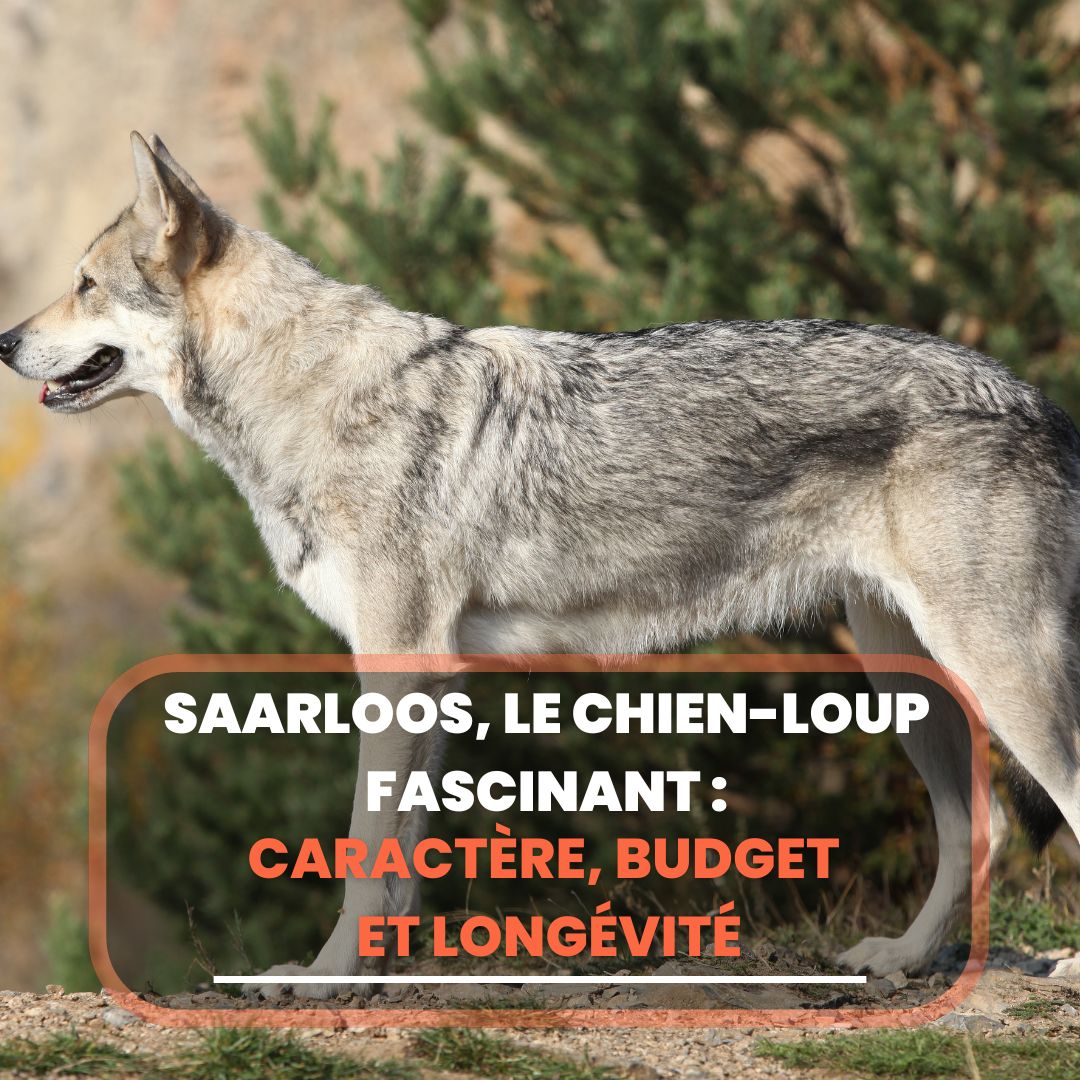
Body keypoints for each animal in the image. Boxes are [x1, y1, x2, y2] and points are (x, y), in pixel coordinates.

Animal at [4, 132, 1080, 996]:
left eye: (85, 284)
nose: (7, 339)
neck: (311, 399)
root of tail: (1030, 394)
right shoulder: (430, 679)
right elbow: (398, 863)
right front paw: (369, 981)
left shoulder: (399, 666)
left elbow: (361, 852)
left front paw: (320, 980)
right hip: (904, 674)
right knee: (981, 824)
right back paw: (904, 962)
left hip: (990, 669)